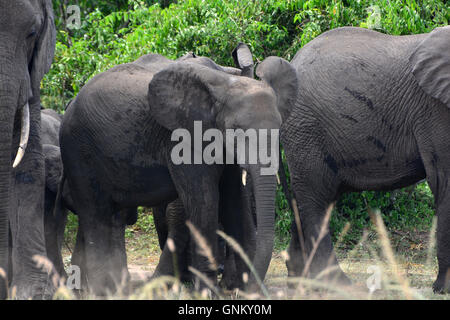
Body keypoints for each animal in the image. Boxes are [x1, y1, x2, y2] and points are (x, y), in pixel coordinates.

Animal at [58, 52, 294, 296]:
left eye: (279, 126)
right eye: (236, 130)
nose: (252, 289)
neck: (224, 84)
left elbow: (233, 201)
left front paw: (238, 288)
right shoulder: (184, 139)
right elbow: (205, 201)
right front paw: (207, 293)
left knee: (109, 215)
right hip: (78, 150)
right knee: (95, 214)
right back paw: (100, 291)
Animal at [268, 26, 450, 292]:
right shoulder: (435, 109)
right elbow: (445, 182)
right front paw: (443, 288)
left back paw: (300, 282)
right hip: (306, 131)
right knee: (316, 202)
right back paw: (335, 284)